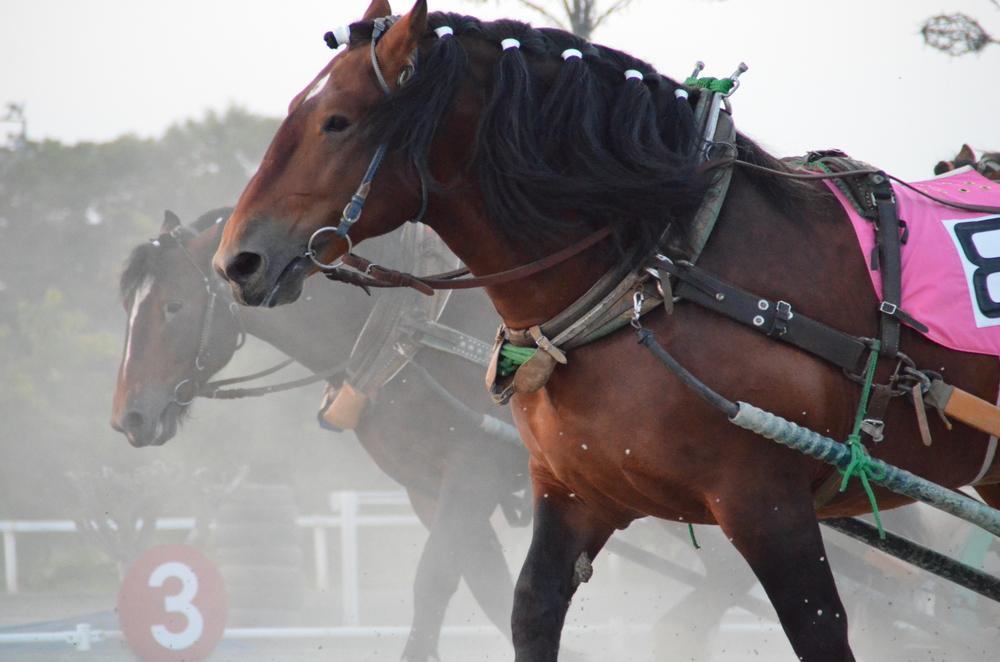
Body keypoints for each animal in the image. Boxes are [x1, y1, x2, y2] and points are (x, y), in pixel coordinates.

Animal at [110, 209, 532, 662]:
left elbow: (435, 583)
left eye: (172, 305)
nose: (128, 416)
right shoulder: (431, 490)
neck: (412, 329)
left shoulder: (475, 476)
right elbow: (491, 591)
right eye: (128, 306)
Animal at [213, 2, 1000, 660]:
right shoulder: (573, 491)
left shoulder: (768, 504)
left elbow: (818, 629)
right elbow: (525, 608)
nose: (237, 260)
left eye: (338, 121)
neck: (663, 266)